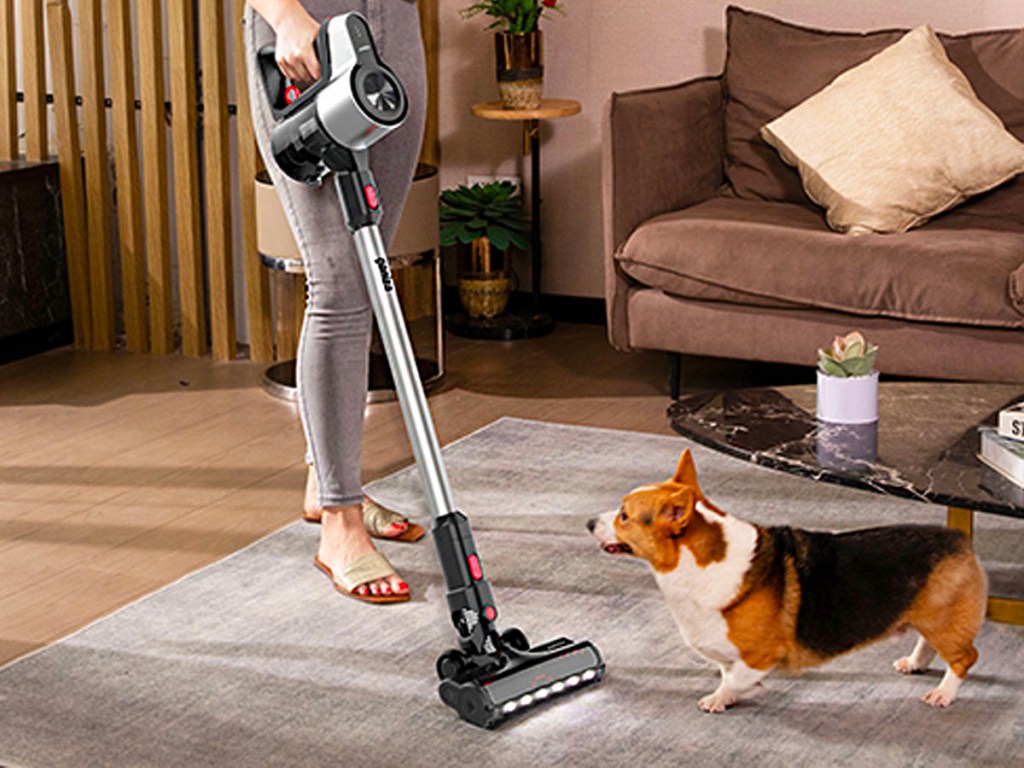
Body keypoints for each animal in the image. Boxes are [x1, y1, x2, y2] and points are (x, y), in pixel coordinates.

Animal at [589, 450, 987, 716]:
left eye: (624, 516)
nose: (589, 523)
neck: (698, 562)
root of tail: (959, 539)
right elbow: (727, 671)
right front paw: (728, 695)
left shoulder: (763, 653)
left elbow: (736, 676)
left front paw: (734, 694)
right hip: (929, 616)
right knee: (930, 644)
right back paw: (914, 663)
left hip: (941, 619)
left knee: (964, 657)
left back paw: (943, 694)